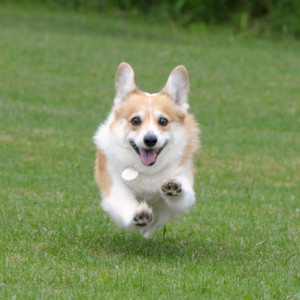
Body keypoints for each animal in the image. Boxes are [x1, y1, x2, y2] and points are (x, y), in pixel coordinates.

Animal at [94, 62, 200, 237]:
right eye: (135, 120)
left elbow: (182, 192)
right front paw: (139, 215)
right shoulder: (113, 187)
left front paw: (173, 187)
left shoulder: (184, 186)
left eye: (163, 121)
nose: (150, 140)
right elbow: (124, 201)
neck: (147, 170)